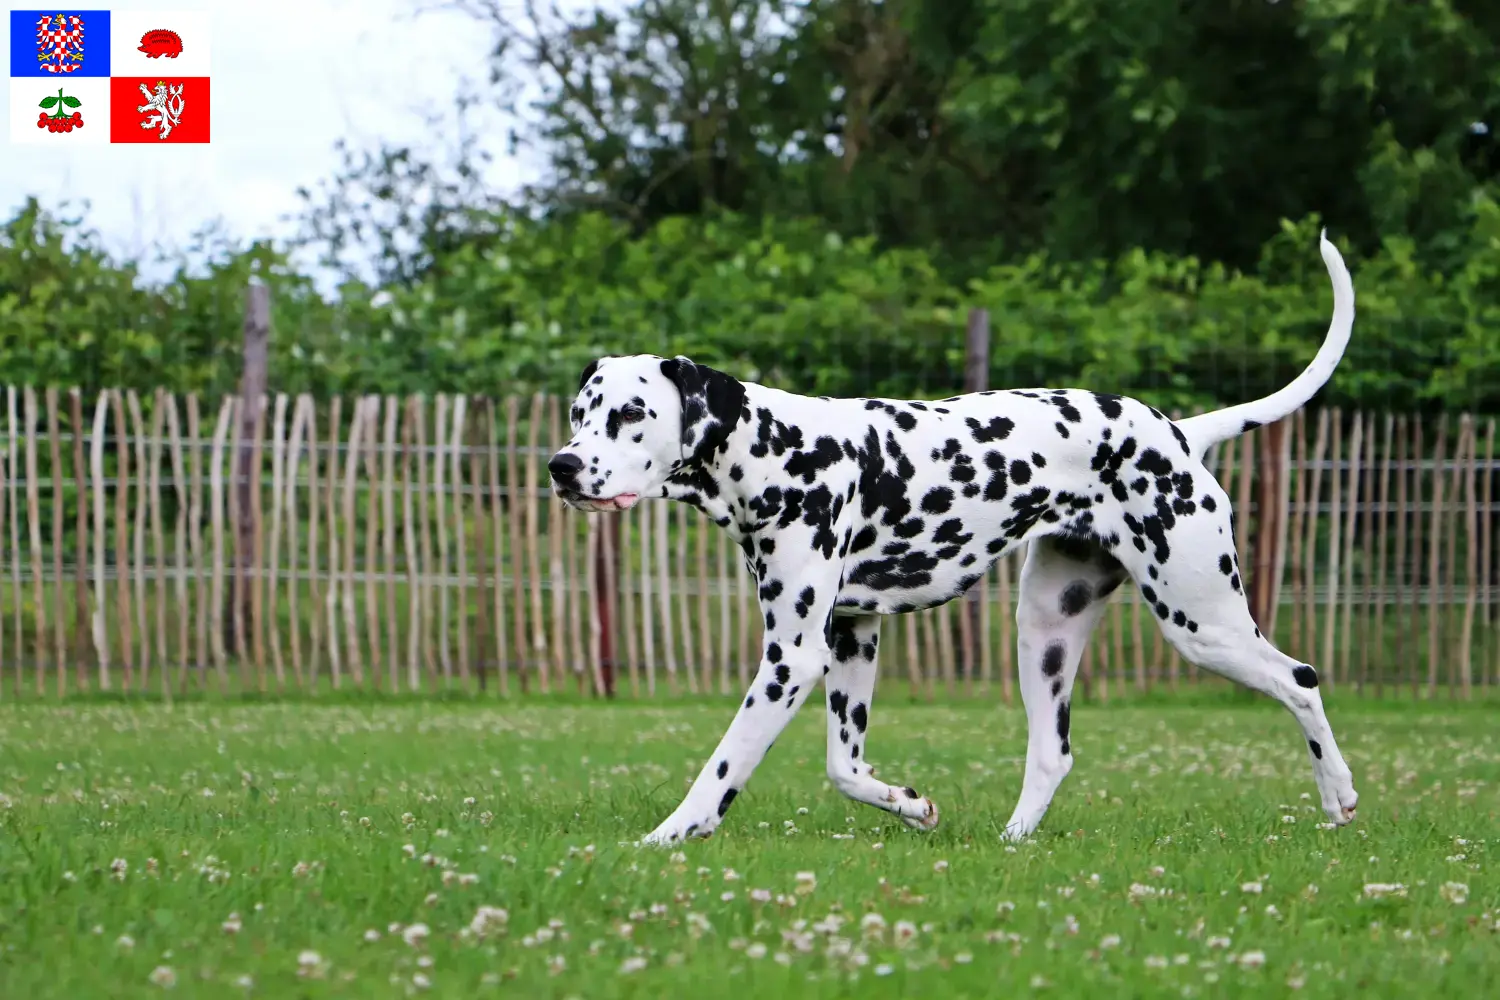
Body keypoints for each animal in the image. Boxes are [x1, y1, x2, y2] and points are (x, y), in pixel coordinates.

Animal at [549, 232, 1362, 845]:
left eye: (630, 414)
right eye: (579, 413)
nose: (562, 466)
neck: (775, 447)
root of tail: (1178, 432)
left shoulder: (792, 657)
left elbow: (723, 765)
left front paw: (669, 836)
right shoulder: (851, 636)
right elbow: (844, 768)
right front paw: (909, 804)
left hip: (1203, 623)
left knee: (1301, 680)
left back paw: (1338, 796)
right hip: (1045, 633)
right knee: (1053, 754)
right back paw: (1012, 841)